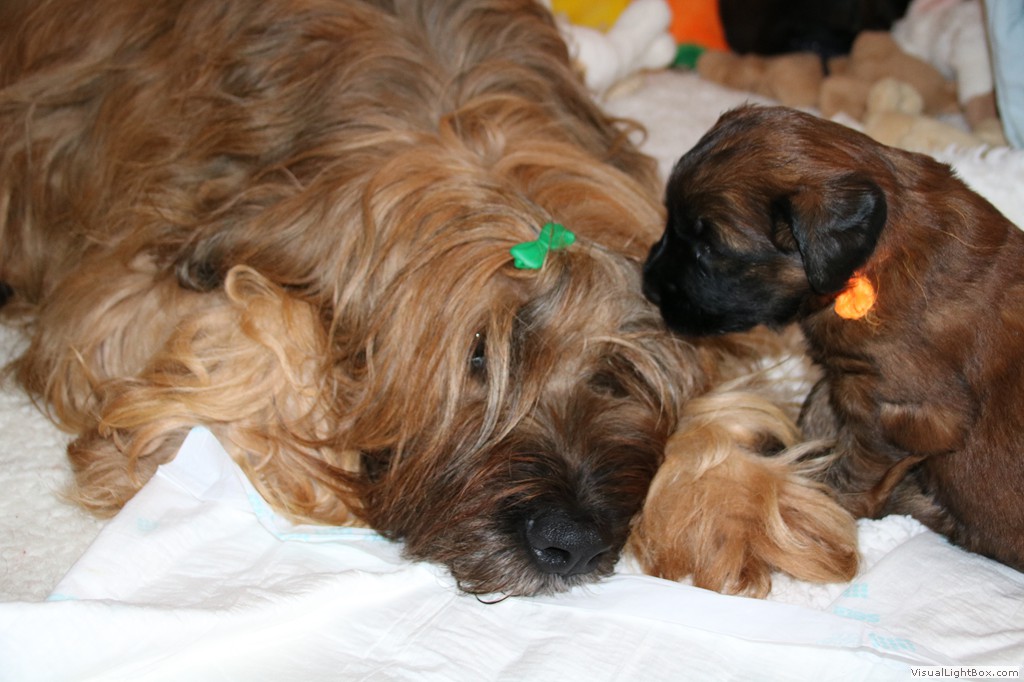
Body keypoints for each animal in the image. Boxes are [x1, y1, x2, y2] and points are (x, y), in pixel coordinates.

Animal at [0, 1, 857, 598]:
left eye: (620, 371)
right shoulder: (112, 290)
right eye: (479, 356)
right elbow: (269, 326)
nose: (570, 544)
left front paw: (726, 495)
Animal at [644, 104, 1024, 571]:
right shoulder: (845, 380)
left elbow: (853, 467)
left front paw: (818, 494)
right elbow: (819, 410)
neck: (872, 257)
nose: (648, 283)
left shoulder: (903, 409)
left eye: (709, 248)